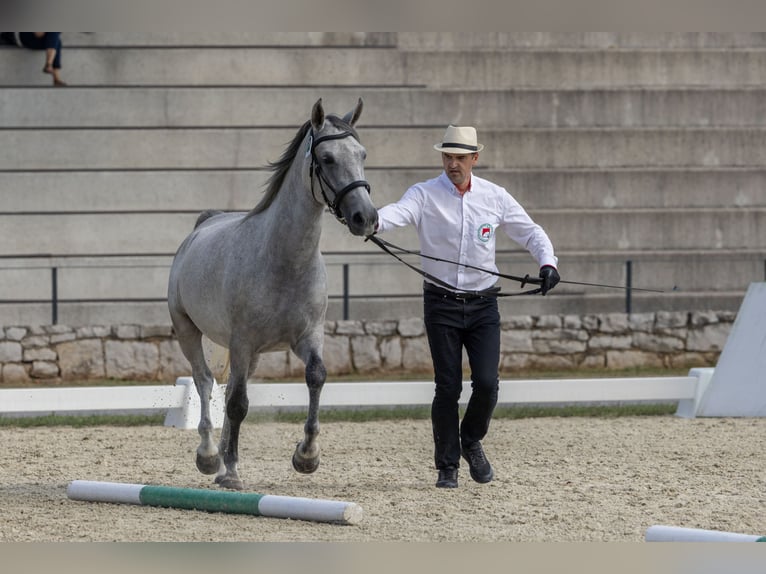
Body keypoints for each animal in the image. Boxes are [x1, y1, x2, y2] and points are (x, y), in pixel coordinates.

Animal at [171, 99, 380, 490]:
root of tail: (204, 224)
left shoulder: (307, 337)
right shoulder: (242, 341)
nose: (366, 217)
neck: (285, 261)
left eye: (362, 154)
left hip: (249, 355)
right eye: (327, 158)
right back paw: (210, 457)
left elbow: (316, 377)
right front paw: (232, 472)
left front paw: (306, 457)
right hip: (189, 331)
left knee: (226, 388)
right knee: (205, 382)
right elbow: (238, 404)